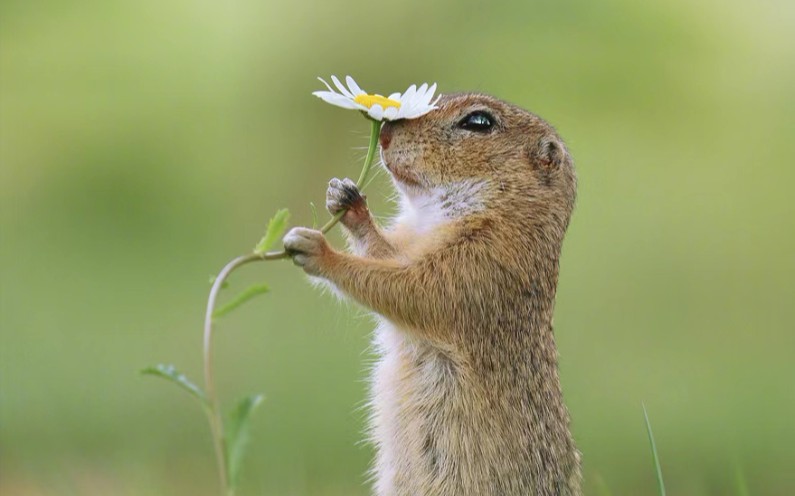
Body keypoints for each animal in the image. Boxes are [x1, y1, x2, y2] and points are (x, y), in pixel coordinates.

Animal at [282, 94, 580, 496]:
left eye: (479, 122)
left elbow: (404, 288)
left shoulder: (476, 268)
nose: (385, 131)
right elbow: (385, 255)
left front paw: (317, 249)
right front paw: (346, 199)